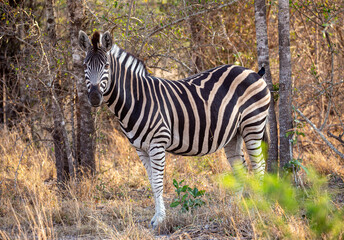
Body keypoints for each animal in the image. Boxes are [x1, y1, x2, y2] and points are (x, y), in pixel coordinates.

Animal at [78, 31, 272, 228]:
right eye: (85, 65)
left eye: (106, 66)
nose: (94, 97)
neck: (137, 99)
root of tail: (253, 72)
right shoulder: (140, 148)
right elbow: (151, 181)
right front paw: (157, 216)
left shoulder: (157, 143)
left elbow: (157, 182)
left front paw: (160, 219)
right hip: (234, 133)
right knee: (241, 168)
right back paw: (236, 207)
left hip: (253, 125)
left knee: (259, 166)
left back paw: (258, 208)